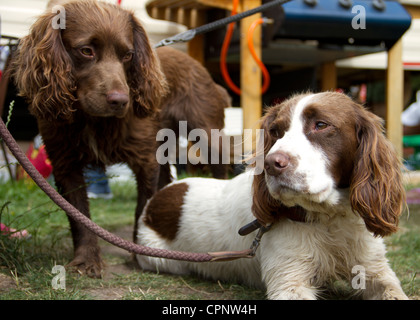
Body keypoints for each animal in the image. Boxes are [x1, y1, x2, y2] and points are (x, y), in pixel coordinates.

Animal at [135, 92, 406, 300]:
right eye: (276, 131)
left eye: (321, 125)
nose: (271, 164)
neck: (328, 219)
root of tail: (160, 196)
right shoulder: (289, 281)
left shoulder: (375, 268)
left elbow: (392, 289)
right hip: (158, 256)